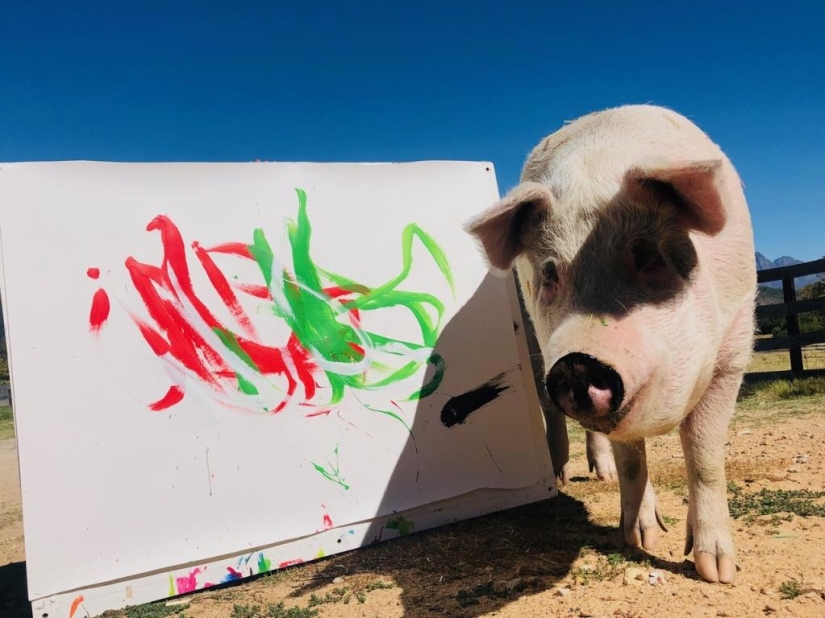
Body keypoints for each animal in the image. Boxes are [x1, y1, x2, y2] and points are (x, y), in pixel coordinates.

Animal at [466, 104, 756, 584]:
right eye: (549, 274)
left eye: (648, 256)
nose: (577, 362)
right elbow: (631, 458)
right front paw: (642, 540)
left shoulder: (733, 350)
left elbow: (704, 455)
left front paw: (717, 570)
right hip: (535, 345)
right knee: (554, 415)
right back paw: (566, 478)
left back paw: (599, 478)